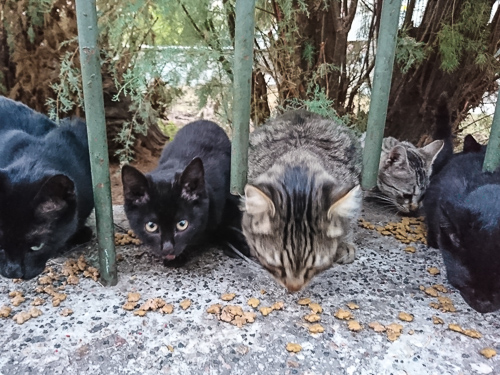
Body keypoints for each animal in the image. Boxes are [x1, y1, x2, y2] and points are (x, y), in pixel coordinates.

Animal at [123, 119, 248, 264]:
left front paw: (238, 245)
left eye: (182, 224)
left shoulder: (227, 197)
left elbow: (231, 219)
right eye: (151, 226)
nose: (168, 249)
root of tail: (203, 121)